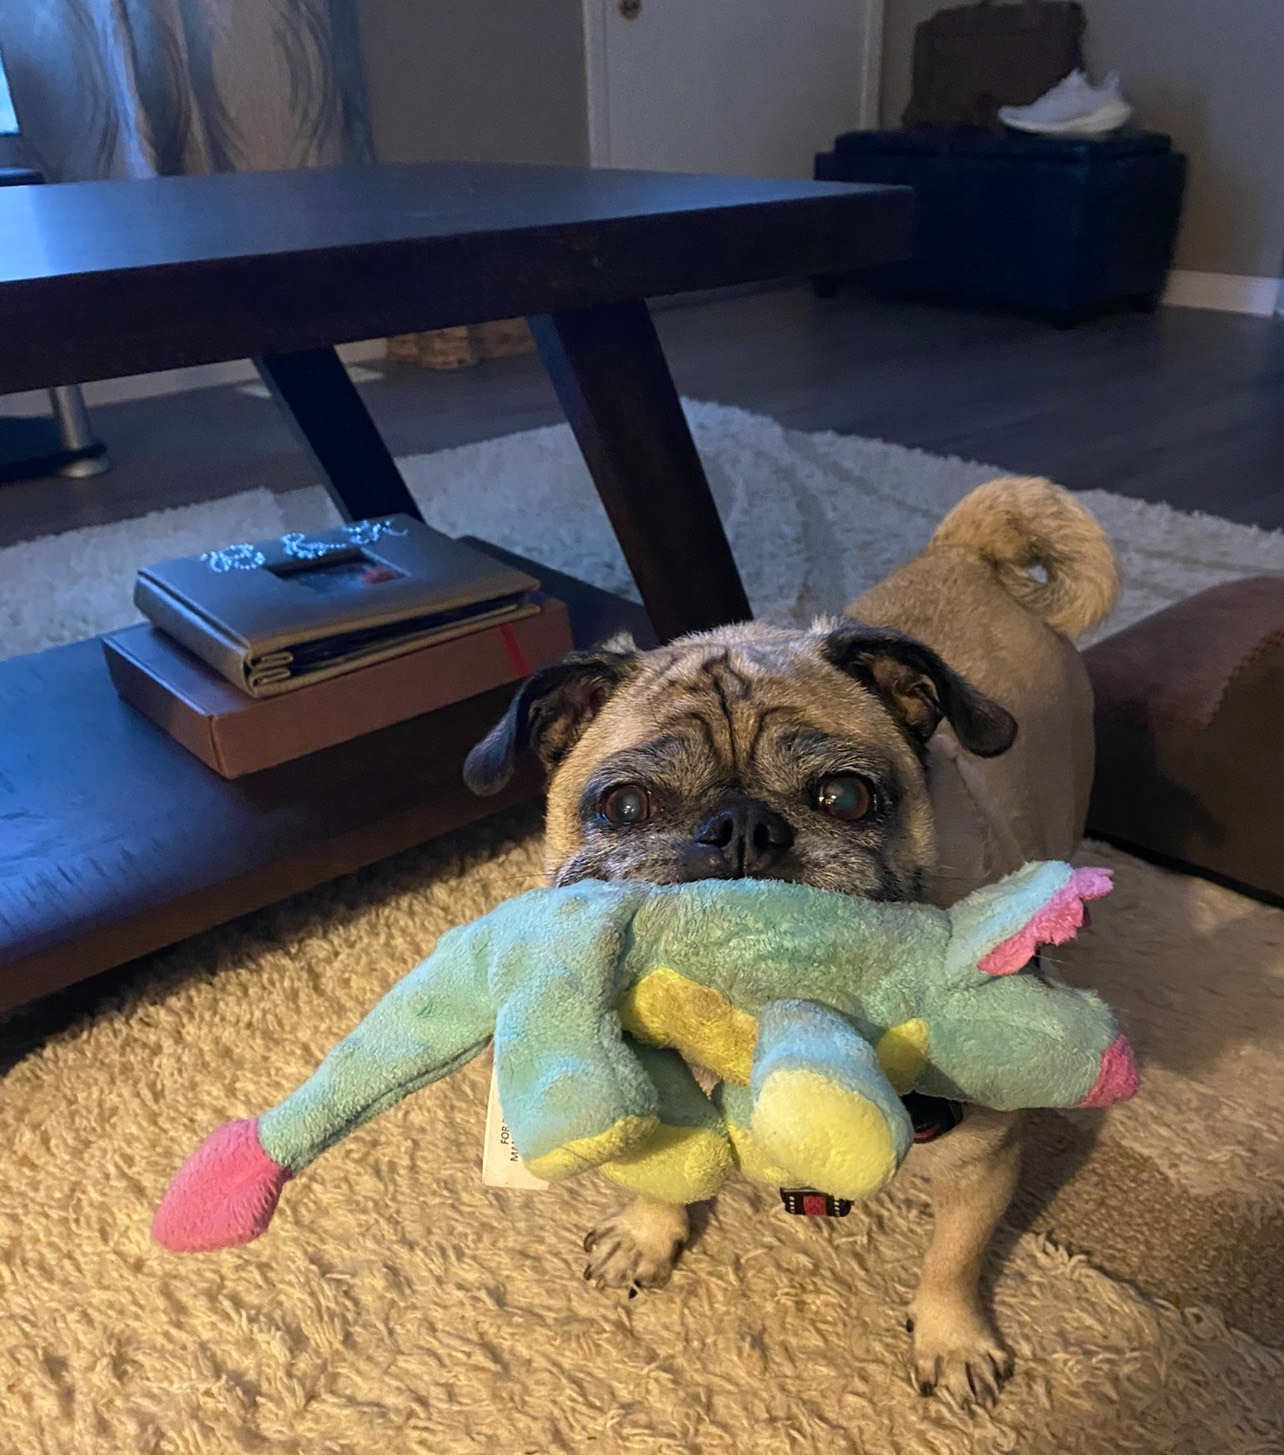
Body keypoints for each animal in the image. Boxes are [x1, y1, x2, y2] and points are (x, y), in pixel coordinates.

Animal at [464, 476, 1119, 1408]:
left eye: (845, 796)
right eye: (625, 806)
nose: (741, 827)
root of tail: (963, 550)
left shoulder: (981, 1162)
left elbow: (954, 1259)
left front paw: (952, 1336)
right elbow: (657, 1167)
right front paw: (648, 1233)